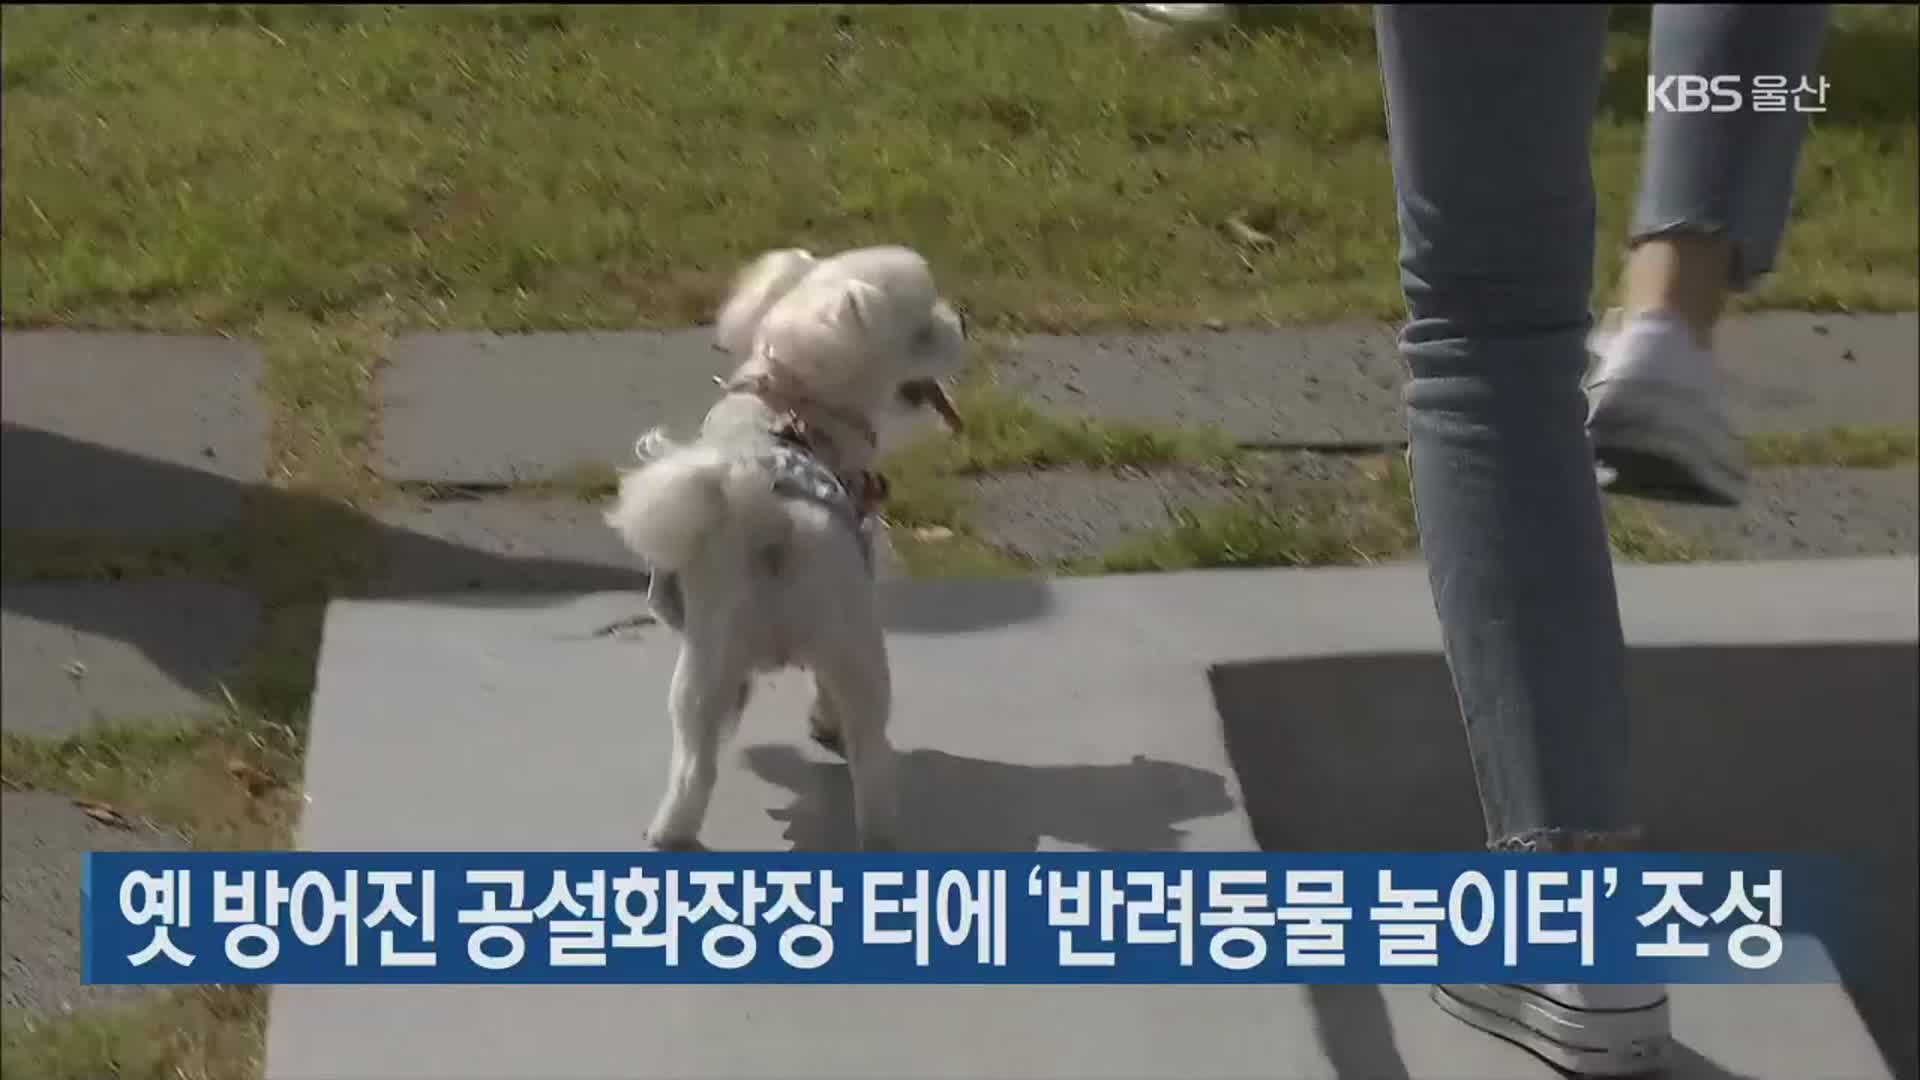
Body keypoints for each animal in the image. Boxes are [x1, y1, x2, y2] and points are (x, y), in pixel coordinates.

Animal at [606, 245, 967, 849]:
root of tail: (769, 519)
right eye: (921, 332)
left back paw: (670, 831)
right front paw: (825, 725)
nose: (962, 320)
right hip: (857, 649)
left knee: (695, 764)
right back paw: (881, 832)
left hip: (707, 663)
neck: (789, 392)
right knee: (871, 755)